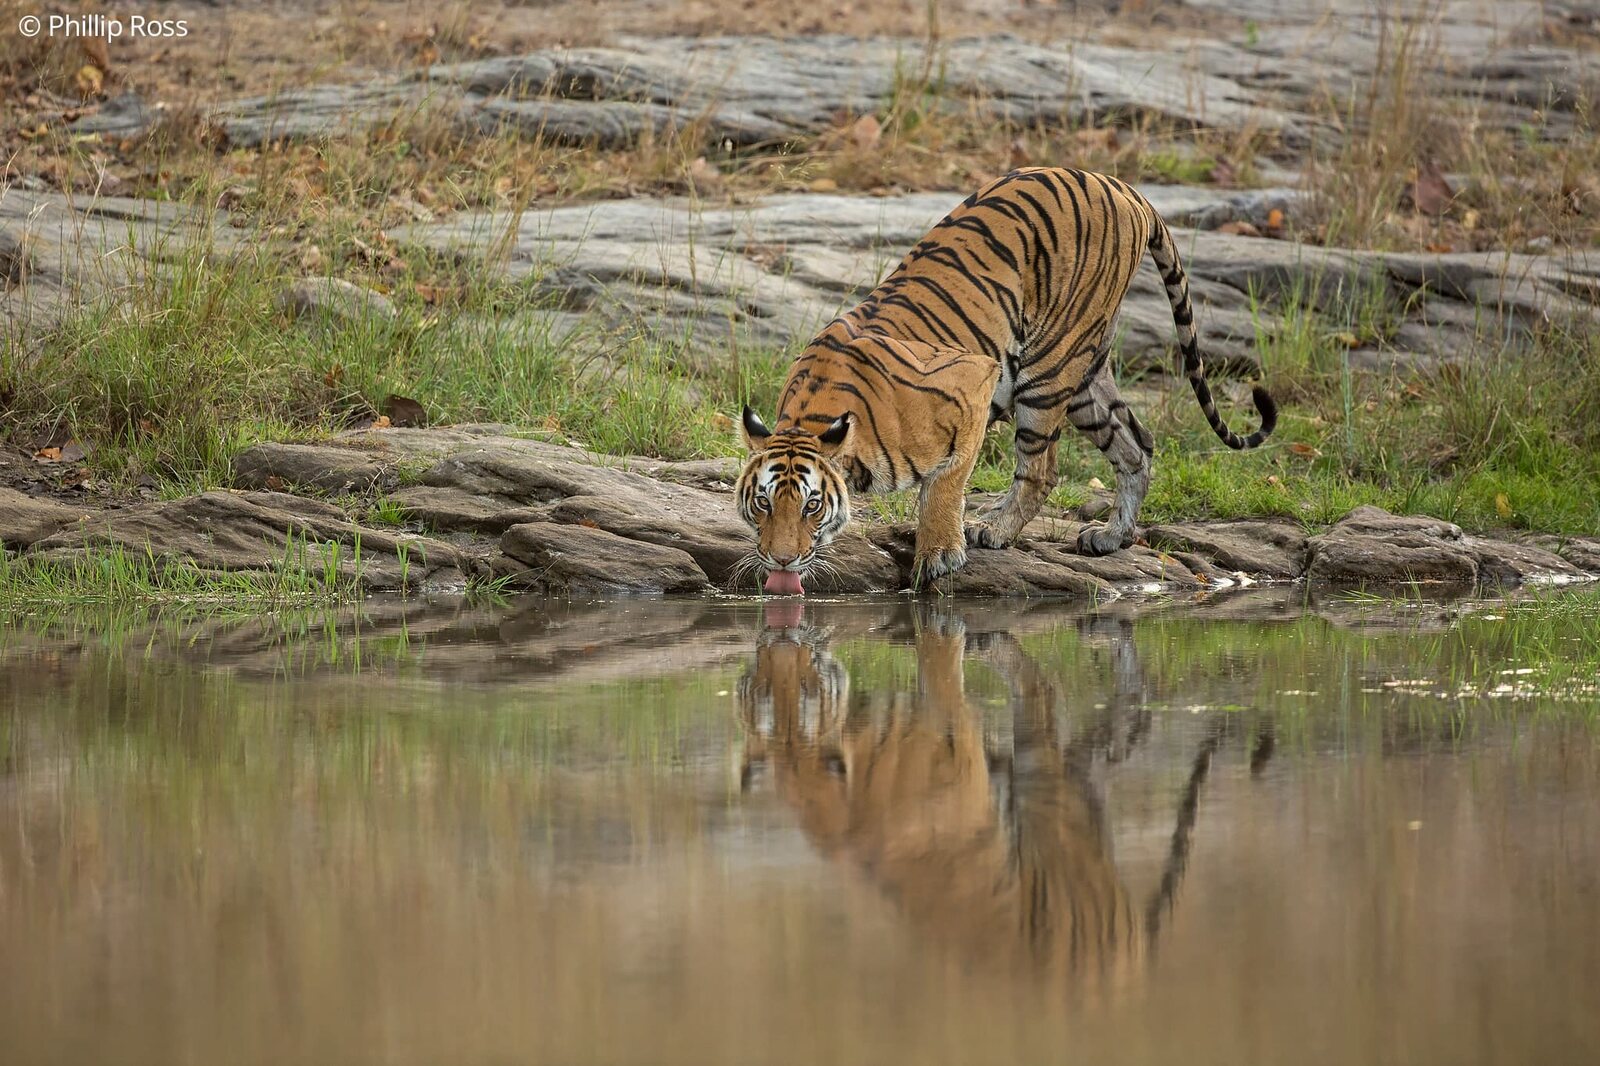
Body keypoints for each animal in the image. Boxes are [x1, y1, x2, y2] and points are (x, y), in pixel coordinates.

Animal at [736, 167, 1277, 594]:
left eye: (812, 506)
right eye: (763, 503)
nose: (781, 560)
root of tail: (1122, 186)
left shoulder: (974, 380)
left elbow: (945, 484)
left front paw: (938, 554)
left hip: (1048, 369)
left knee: (1041, 469)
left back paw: (996, 530)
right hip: (1086, 375)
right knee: (1136, 443)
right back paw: (1110, 537)